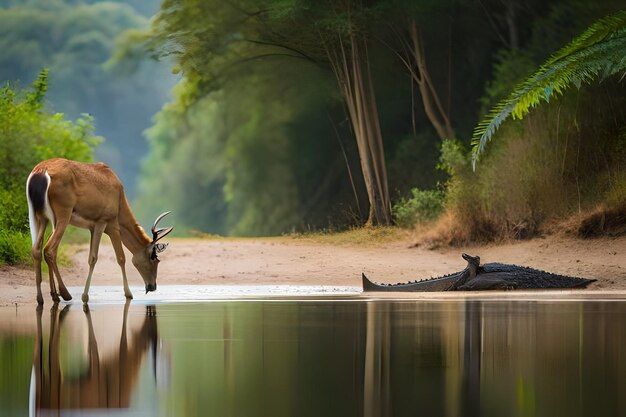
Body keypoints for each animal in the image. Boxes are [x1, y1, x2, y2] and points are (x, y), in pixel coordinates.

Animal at [25, 158, 172, 304]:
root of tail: (40, 172)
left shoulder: (92, 227)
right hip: (63, 215)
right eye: (154, 257)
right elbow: (114, 258)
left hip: (41, 217)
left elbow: (93, 257)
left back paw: (45, 297)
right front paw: (127, 294)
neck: (119, 198)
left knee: (37, 249)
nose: (152, 286)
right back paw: (65, 294)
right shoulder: (107, 223)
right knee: (49, 249)